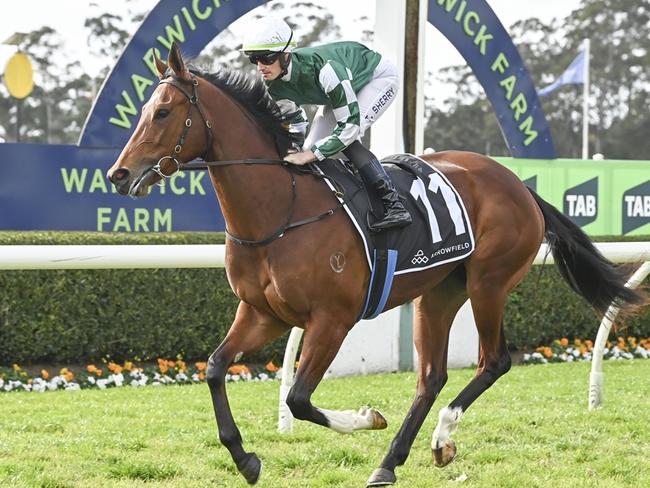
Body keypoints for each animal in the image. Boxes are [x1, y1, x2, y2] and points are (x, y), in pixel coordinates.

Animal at [105, 43, 644, 486]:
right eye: (145, 111)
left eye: (164, 112)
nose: (118, 174)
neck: (282, 210)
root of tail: (519, 185)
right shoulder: (263, 313)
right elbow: (216, 369)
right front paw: (245, 458)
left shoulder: (332, 319)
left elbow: (298, 399)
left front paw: (366, 418)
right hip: (439, 291)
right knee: (431, 377)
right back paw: (391, 462)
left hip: (488, 284)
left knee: (494, 361)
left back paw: (441, 436)